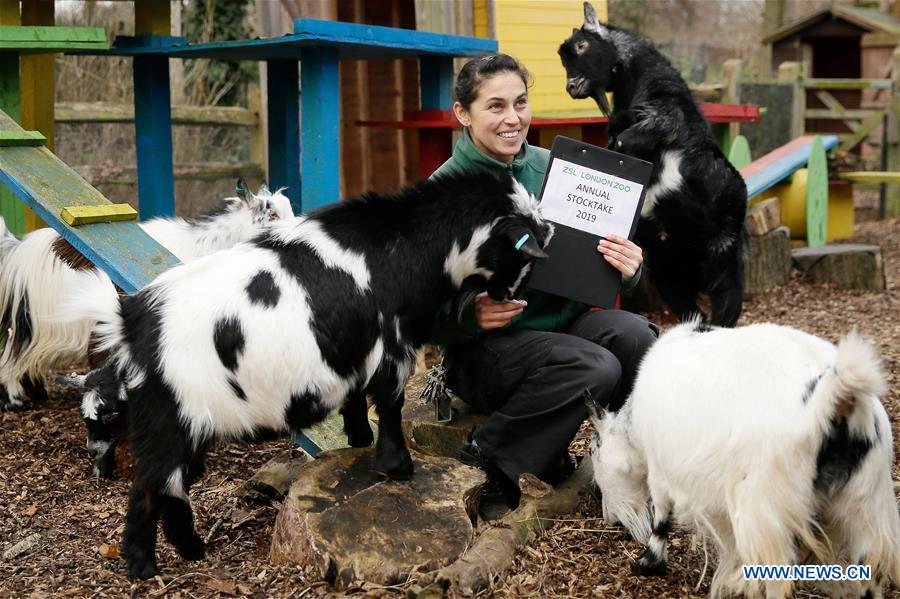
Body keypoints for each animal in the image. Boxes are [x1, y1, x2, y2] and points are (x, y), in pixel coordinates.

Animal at [63, 170, 552, 580]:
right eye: (523, 251)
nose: (511, 299)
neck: (401, 248)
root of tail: (132, 320)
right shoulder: (394, 351)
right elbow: (390, 407)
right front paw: (398, 467)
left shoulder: (354, 349)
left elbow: (356, 398)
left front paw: (357, 440)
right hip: (169, 418)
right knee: (151, 486)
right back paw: (145, 566)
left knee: (171, 485)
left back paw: (191, 551)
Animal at [560, 1, 748, 328]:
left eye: (582, 45)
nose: (571, 86)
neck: (635, 74)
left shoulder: (664, 114)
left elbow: (625, 141)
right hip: (669, 273)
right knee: (696, 317)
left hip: (724, 259)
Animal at [592, 322, 900, 599]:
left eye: (595, 450)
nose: (609, 519)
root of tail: (835, 398)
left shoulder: (659, 466)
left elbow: (661, 514)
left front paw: (649, 563)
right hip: (865, 507)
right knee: (868, 579)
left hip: (768, 512)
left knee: (779, 577)